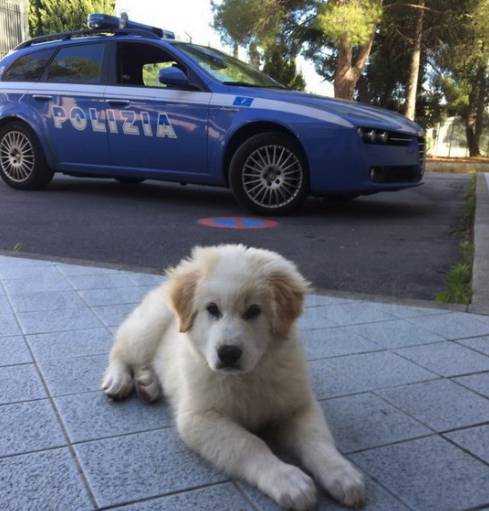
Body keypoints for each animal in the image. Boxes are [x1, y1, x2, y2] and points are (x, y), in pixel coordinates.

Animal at [101, 246, 364, 510]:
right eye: (212, 309)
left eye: (254, 311)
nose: (228, 353)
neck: (248, 376)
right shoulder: (199, 417)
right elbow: (248, 443)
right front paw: (288, 480)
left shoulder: (297, 405)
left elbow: (317, 439)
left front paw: (341, 473)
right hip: (147, 327)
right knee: (121, 349)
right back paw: (119, 380)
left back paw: (147, 384)